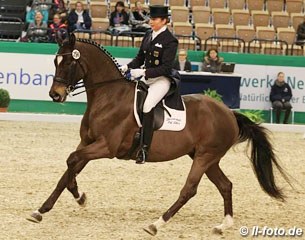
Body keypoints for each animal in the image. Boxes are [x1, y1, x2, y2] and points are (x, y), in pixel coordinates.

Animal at [27, 33, 290, 236]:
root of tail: (229, 113)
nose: (55, 95)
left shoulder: (106, 147)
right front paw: (43, 210)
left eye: (69, 63)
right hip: (206, 157)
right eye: (55, 61)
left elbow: (71, 160)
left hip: (205, 156)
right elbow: (68, 169)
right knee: (225, 185)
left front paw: (78, 196)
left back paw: (156, 224)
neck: (108, 96)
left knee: (190, 189)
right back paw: (222, 226)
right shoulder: (87, 142)